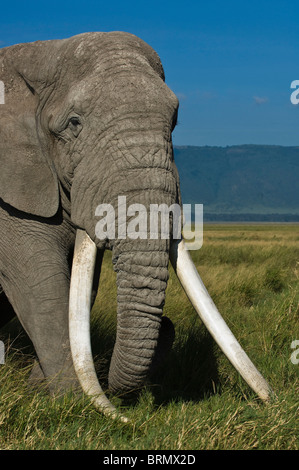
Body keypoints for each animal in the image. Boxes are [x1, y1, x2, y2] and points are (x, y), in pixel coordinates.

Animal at [0, 33, 272, 420]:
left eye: (174, 122)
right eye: (73, 124)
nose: (169, 324)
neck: (43, 53)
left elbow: (82, 287)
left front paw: (45, 391)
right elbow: (38, 283)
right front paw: (74, 404)